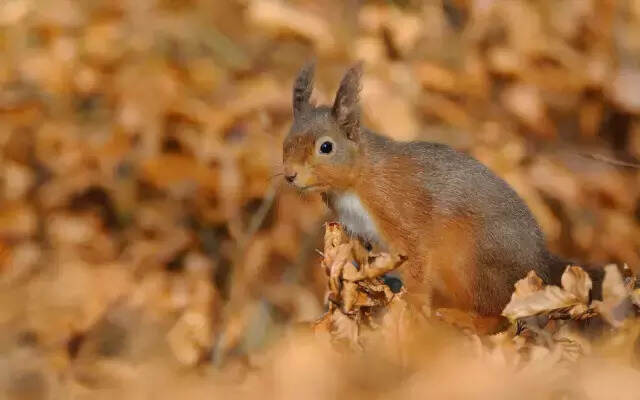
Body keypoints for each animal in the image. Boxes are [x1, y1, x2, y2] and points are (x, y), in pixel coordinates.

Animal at [282, 63, 604, 332]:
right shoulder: (356, 230)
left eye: (326, 147)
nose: (289, 175)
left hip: (469, 262)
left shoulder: (398, 208)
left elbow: (416, 257)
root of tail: (539, 263)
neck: (355, 181)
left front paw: (414, 305)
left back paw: (463, 318)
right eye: (286, 142)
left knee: (501, 315)